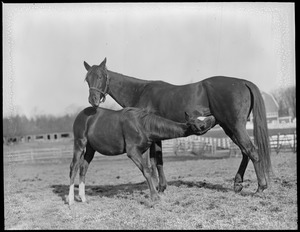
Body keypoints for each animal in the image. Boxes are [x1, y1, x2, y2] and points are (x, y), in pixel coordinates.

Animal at [67, 105, 205, 205]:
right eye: (193, 123)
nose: (203, 126)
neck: (142, 124)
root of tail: (81, 115)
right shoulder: (132, 151)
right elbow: (147, 171)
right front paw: (155, 197)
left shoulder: (142, 151)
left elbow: (150, 169)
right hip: (80, 144)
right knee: (74, 167)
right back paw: (71, 200)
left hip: (91, 149)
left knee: (83, 168)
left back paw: (83, 198)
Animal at [83, 57, 274, 193]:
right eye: (87, 79)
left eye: (100, 76)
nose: (93, 100)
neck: (141, 92)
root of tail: (242, 82)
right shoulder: (156, 136)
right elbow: (158, 160)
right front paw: (161, 186)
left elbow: (155, 161)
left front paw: (159, 187)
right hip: (229, 128)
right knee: (245, 152)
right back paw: (238, 184)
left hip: (235, 126)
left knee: (252, 151)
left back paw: (261, 187)